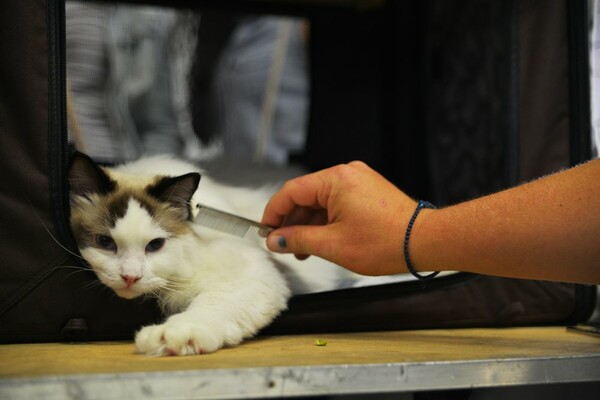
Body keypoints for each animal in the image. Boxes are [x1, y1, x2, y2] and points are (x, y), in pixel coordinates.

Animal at [67, 152, 350, 356]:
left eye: (155, 245)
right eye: (105, 242)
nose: (130, 277)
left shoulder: (248, 275)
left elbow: (207, 308)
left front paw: (170, 337)